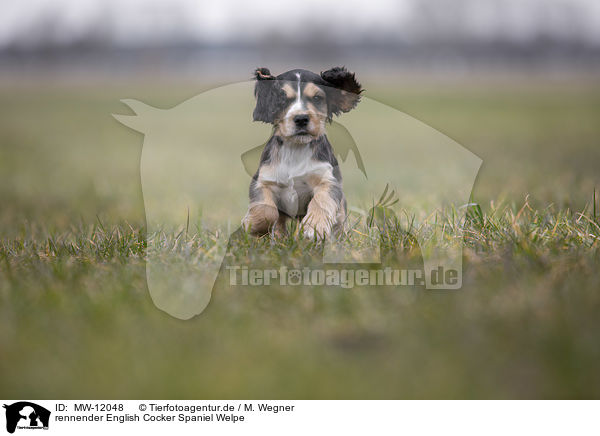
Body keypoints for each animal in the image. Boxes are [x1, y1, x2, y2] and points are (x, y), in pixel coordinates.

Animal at [243, 66, 360, 240]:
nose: (301, 118)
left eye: (317, 98)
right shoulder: (264, 180)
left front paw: (314, 227)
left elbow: (321, 201)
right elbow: (266, 211)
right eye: (281, 99)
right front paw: (252, 225)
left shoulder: (328, 180)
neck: (296, 147)